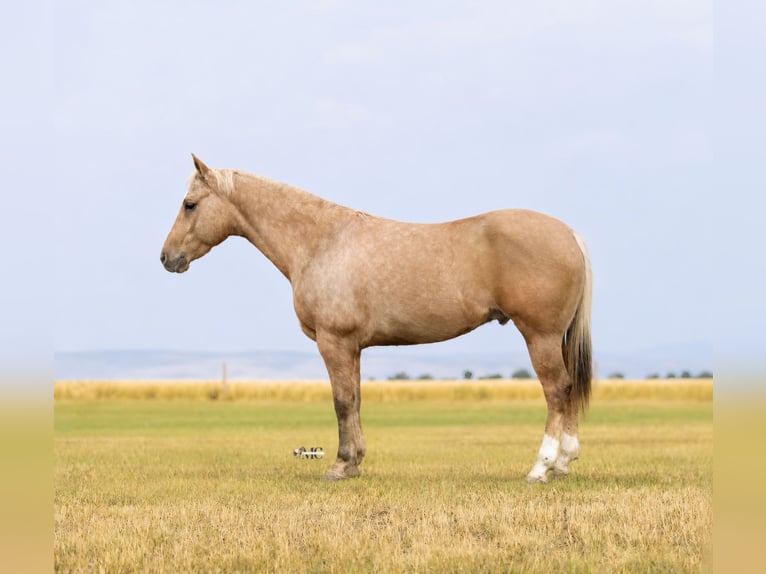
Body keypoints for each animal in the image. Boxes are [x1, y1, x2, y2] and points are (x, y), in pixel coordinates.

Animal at [161, 155, 593, 483]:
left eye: (189, 204)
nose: (167, 257)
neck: (322, 241)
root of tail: (569, 234)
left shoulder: (334, 342)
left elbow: (341, 401)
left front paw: (339, 466)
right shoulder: (352, 347)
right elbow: (355, 400)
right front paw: (354, 463)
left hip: (539, 336)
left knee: (556, 391)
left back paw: (541, 468)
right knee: (568, 389)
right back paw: (564, 463)